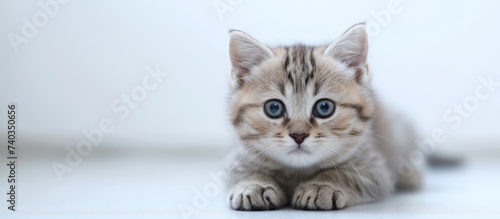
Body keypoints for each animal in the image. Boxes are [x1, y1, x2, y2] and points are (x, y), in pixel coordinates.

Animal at [227, 24, 422, 210]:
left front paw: (321, 186)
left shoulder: (373, 169)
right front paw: (253, 185)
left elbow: (344, 174)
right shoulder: (236, 162)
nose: (299, 135)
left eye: (324, 107)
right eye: (274, 108)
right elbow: (244, 172)